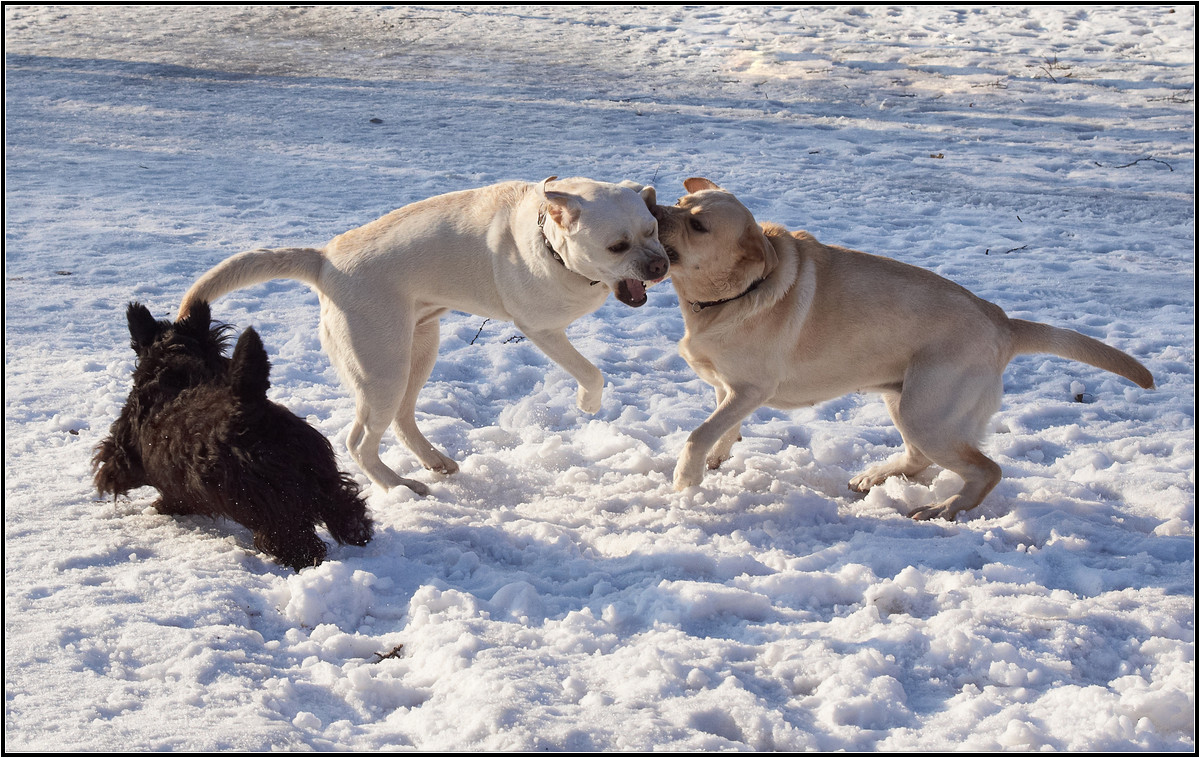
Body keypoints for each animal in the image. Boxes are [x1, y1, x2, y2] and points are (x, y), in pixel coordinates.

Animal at [93, 301, 372, 568]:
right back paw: (359, 532)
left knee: (297, 539)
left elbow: (112, 466)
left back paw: (304, 561)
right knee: (345, 504)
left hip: (271, 506)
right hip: (321, 473)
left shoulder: (125, 453)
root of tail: (252, 412)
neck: (174, 370)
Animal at [180, 177, 667, 496]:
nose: (661, 265)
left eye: (652, 230)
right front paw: (587, 405)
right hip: (382, 369)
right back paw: (398, 485)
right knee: (359, 442)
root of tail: (324, 260)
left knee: (401, 419)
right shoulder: (541, 328)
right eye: (616, 246)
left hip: (419, 349)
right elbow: (591, 372)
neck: (547, 235)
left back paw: (433, 460)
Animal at [657, 178, 1152, 520]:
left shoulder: (751, 389)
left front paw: (686, 477)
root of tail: (1003, 321)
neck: (732, 294)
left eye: (697, 225)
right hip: (904, 400)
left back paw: (944, 509)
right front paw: (717, 458)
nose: (654, 209)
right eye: (679, 205)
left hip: (926, 412)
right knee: (918, 460)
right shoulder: (726, 388)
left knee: (986, 470)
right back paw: (877, 475)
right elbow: (721, 427)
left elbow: (699, 432)